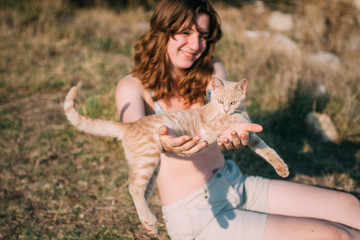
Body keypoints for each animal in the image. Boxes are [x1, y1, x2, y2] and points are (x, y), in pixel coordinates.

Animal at [63, 76, 288, 235]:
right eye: (220, 100)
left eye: (233, 102)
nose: (225, 110)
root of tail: (130, 125)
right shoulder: (217, 122)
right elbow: (235, 122)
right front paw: (241, 120)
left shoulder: (250, 138)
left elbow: (267, 149)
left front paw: (281, 167)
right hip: (147, 159)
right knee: (133, 187)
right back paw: (150, 219)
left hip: (153, 168)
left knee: (143, 192)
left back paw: (149, 223)